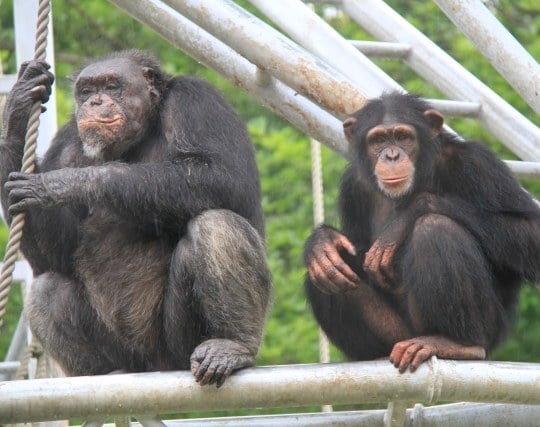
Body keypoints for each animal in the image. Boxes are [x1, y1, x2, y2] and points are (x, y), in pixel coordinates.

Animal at [0, 50, 270, 388]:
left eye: (112, 86)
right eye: (86, 90)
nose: (95, 101)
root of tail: (155, 367)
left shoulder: (199, 100)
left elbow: (225, 178)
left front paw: (62, 183)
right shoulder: (66, 143)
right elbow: (54, 256)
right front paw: (18, 107)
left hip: (179, 346)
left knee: (216, 224)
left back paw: (231, 346)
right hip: (130, 357)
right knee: (46, 289)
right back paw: (105, 374)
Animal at [304, 92, 540, 372]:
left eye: (403, 137)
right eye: (378, 140)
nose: (391, 155)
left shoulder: (477, 163)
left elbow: (531, 231)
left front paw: (411, 212)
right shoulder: (353, 185)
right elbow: (352, 242)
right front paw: (321, 241)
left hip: (488, 329)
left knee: (435, 229)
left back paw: (457, 344)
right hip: (398, 333)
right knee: (324, 272)